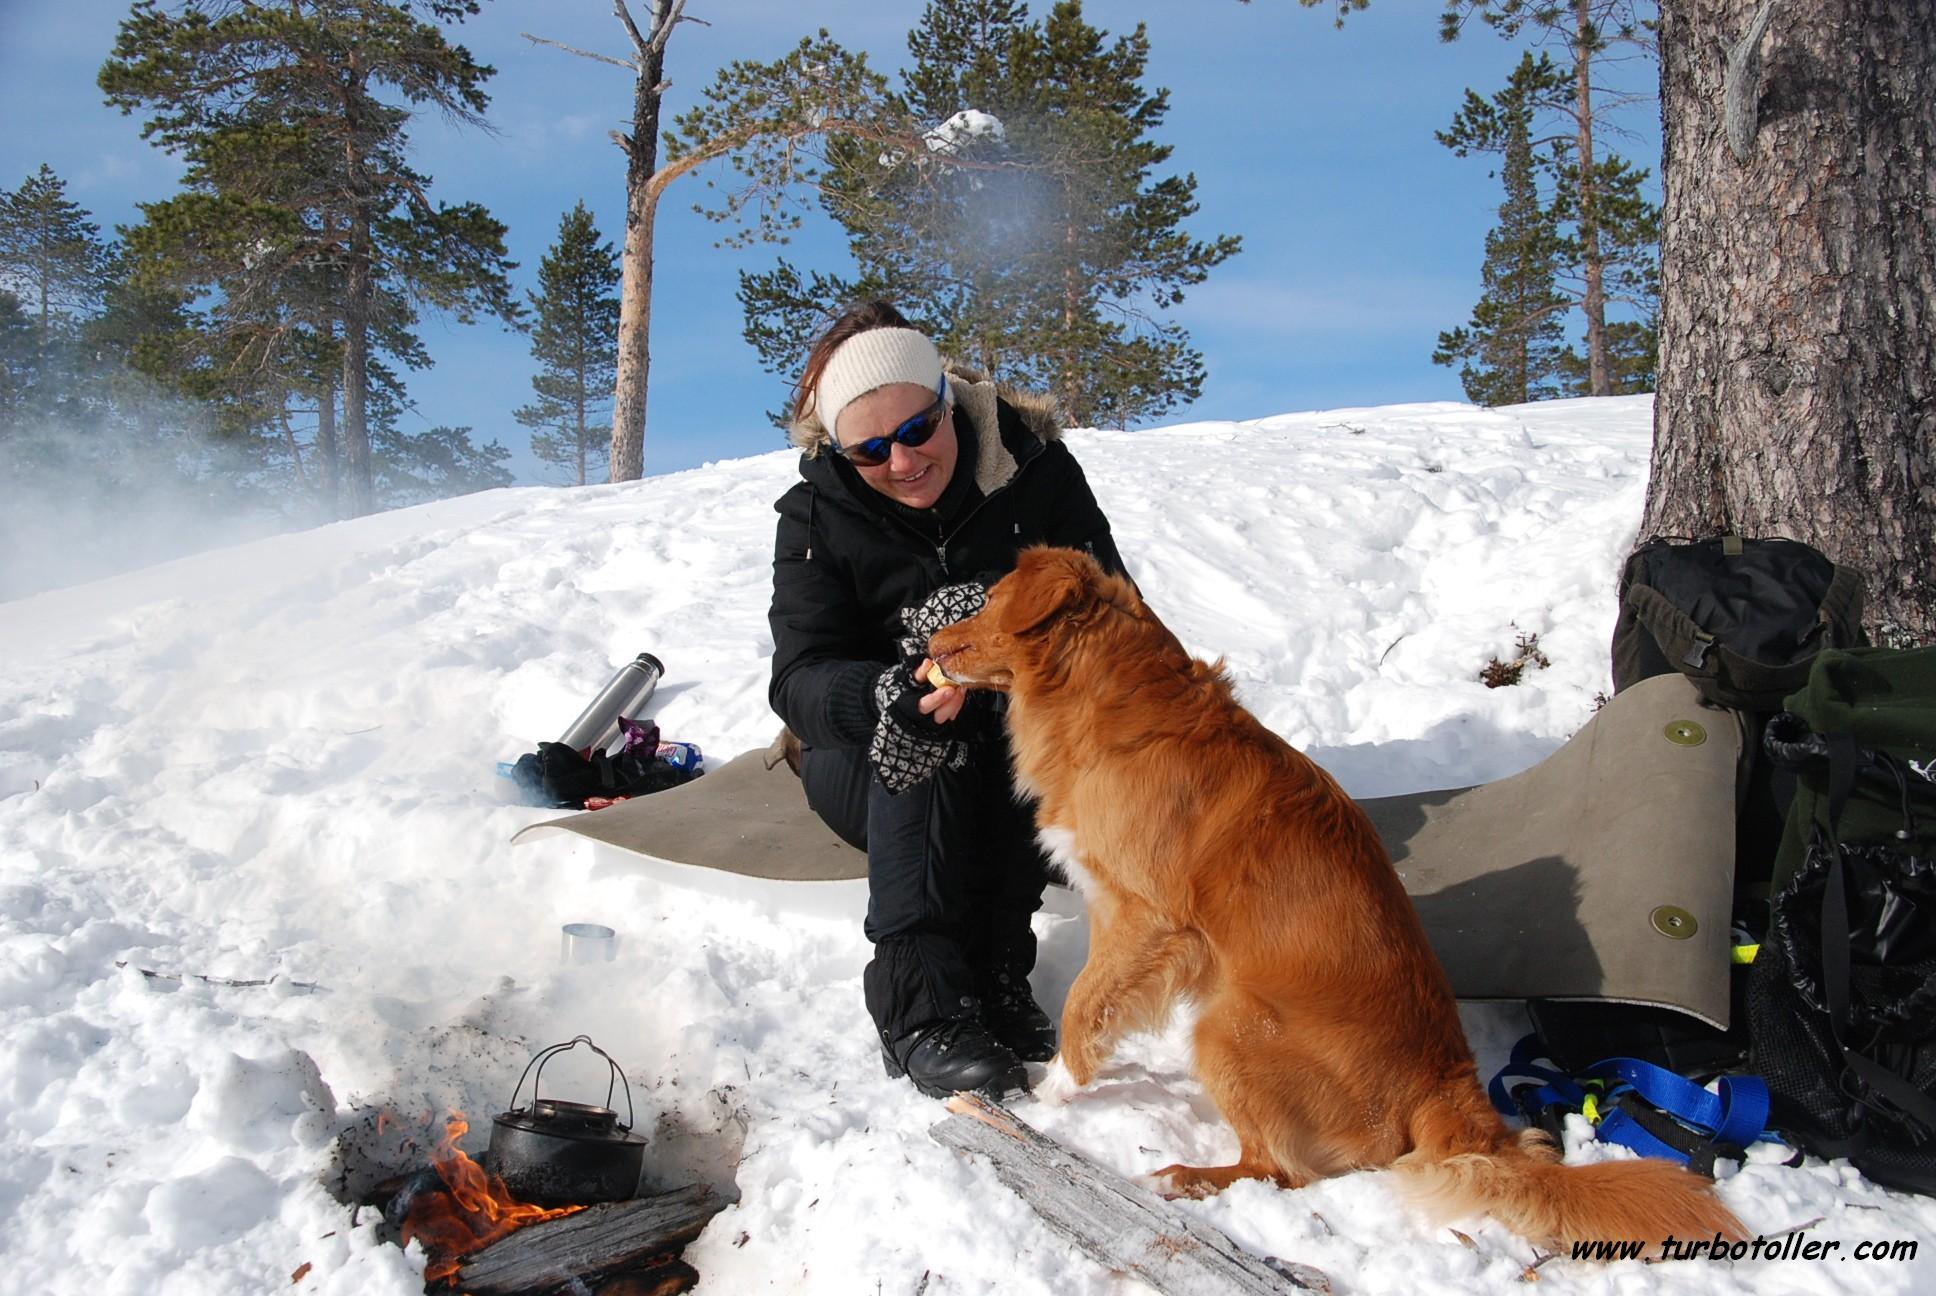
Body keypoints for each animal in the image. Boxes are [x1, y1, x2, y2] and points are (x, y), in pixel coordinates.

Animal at [929, 542, 1750, 1239]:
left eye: (988, 600)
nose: (926, 648)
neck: (1114, 705)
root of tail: (1449, 1088)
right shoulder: (1119, 919)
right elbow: (1100, 1001)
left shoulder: (1146, 919)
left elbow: (1083, 1002)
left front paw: (1052, 1091)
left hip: (1229, 1024)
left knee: (1279, 1169)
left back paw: (1183, 1177)